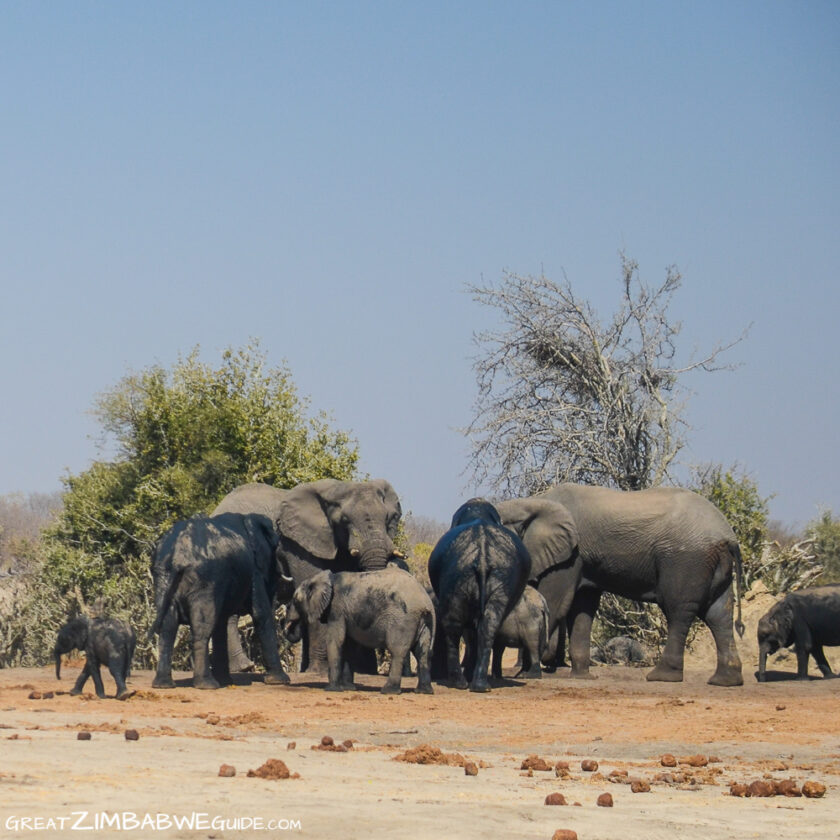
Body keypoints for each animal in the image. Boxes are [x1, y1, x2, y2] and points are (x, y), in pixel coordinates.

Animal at [149, 512, 293, 690]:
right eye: (275, 548)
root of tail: (177, 556)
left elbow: (221, 622)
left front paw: (226, 681)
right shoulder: (254, 572)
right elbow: (261, 615)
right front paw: (280, 680)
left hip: (163, 577)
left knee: (167, 627)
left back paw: (163, 685)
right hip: (204, 579)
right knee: (202, 628)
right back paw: (208, 685)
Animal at [212, 478, 404, 675]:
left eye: (388, 518)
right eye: (344, 520)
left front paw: (362, 671)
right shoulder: (298, 545)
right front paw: (319, 672)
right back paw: (243, 668)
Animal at [282, 567, 435, 694]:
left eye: (295, 600)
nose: (287, 612)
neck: (327, 578)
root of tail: (426, 602)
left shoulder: (336, 609)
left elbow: (336, 641)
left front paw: (332, 690)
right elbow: (348, 645)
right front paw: (348, 688)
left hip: (402, 620)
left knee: (397, 651)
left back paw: (388, 691)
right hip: (424, 621)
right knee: (422, 652)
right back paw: (423, 691)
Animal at [428, 498, 531, 692]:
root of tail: (482, 554)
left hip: (467, 573)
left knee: (465, 625)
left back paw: (471, 684)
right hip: (470, 574)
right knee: (472, 625)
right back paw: (469, 684)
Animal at [499, 483, 744, 686]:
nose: (551, 663)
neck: (532, 502)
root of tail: (729, 537)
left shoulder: (570, 556)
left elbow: (556, 602)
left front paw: (526, 674)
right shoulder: (583, 560)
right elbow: (582, 608)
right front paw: (582, 678)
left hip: (686, 560)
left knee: (678, 611)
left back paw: (661, 677)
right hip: (714, 566)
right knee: (719, 614)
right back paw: (725, 682)